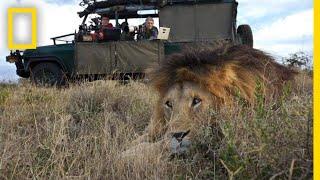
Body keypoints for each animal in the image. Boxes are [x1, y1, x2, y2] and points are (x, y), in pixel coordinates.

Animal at [122, 45, 296, 159]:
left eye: (196, 101)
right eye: (168, 104)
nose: (178, 136)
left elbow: (155, 146)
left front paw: (123, 156)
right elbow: (140, 139)